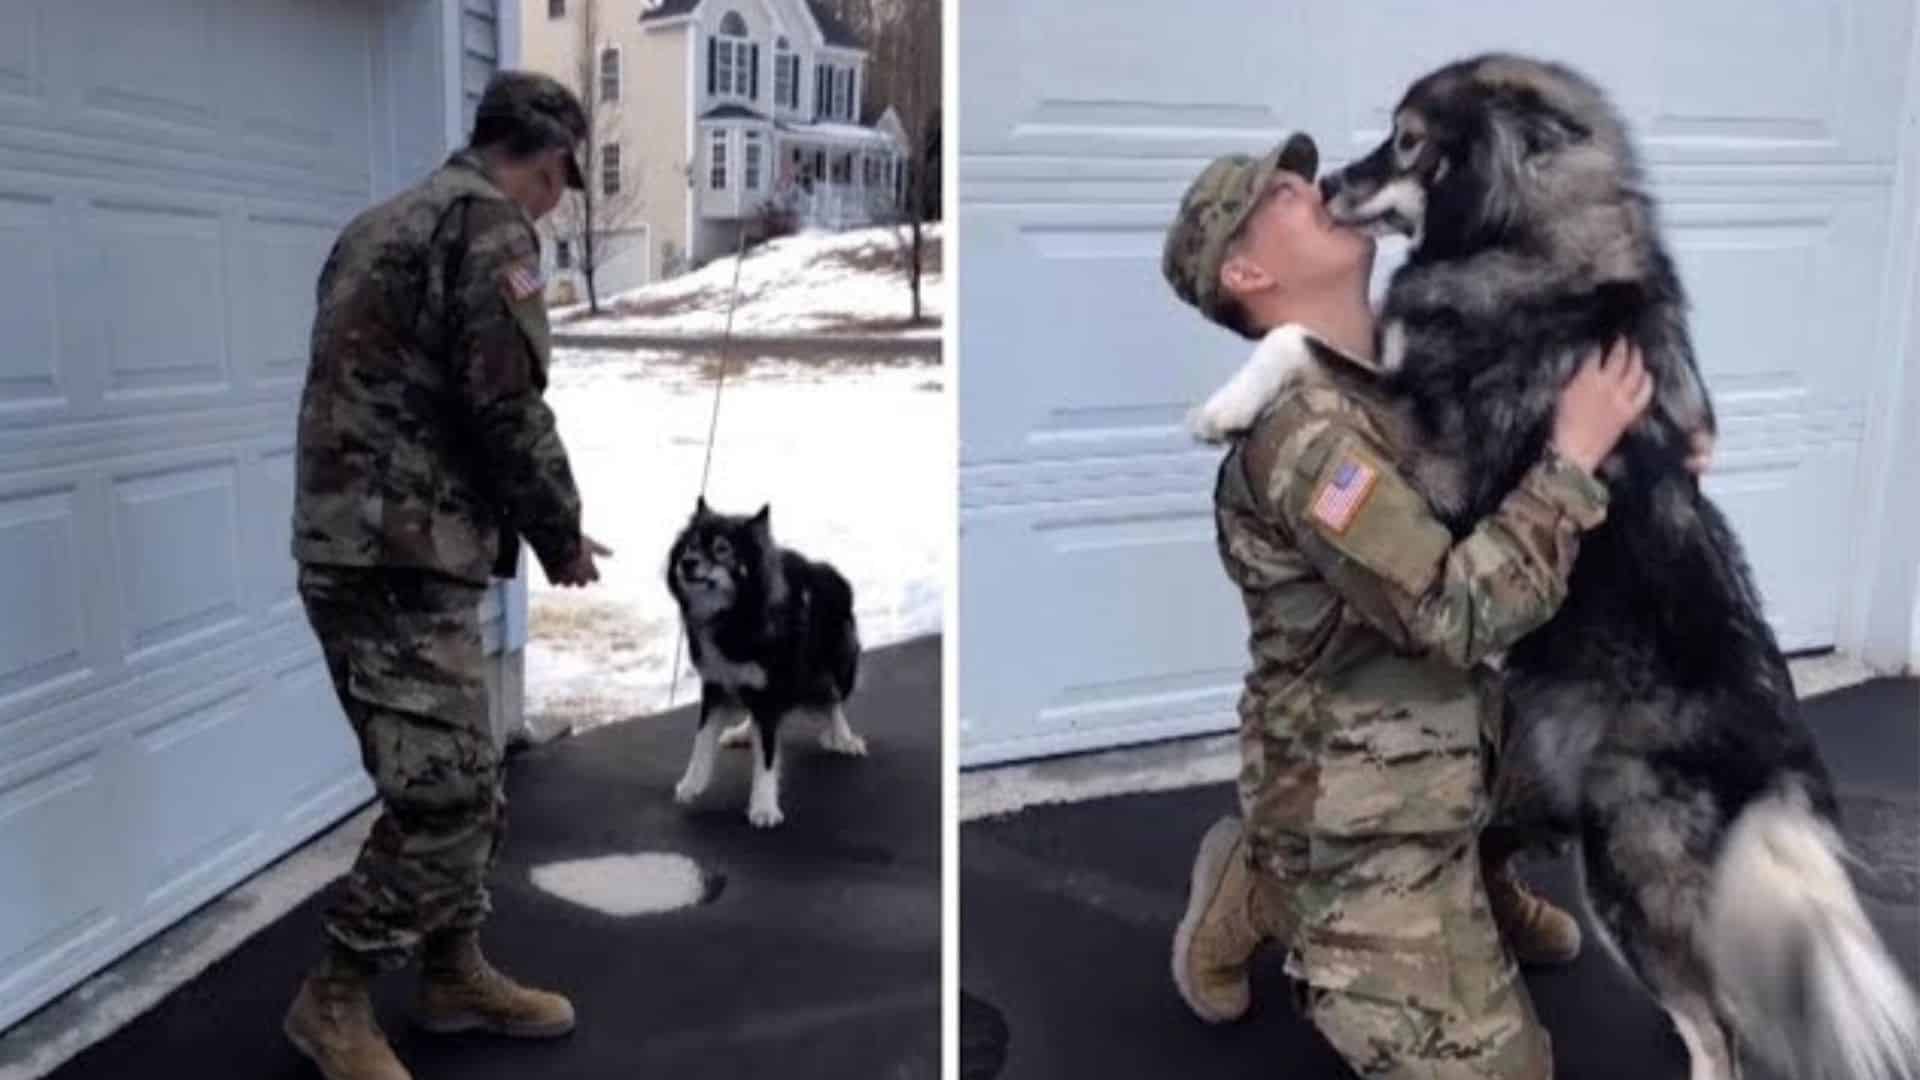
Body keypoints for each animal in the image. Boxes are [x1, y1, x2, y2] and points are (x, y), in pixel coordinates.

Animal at [668, 495, 864, 822]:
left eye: (722, 549)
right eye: (690, 546)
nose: (688, 563)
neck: (735, 616)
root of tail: (832, 572)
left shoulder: (770, 692)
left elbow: (768, 757)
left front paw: (763, 806)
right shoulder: (717, 685)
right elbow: (702, 740)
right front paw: (692, 783)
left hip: (835, 664)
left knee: (832, 700)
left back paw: (843, 737)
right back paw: (745, 732)